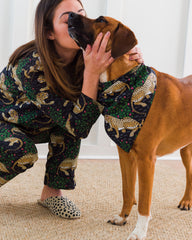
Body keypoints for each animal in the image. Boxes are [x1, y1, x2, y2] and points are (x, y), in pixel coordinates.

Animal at [68, 12, 192, 240]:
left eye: (101, 20)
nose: (70, 14)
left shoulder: (146, 160)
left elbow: (144, 201)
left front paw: (139, 231)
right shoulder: (125, 154)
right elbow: (127, 190)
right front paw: (122, 217)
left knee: (189, 174)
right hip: (185, 149)